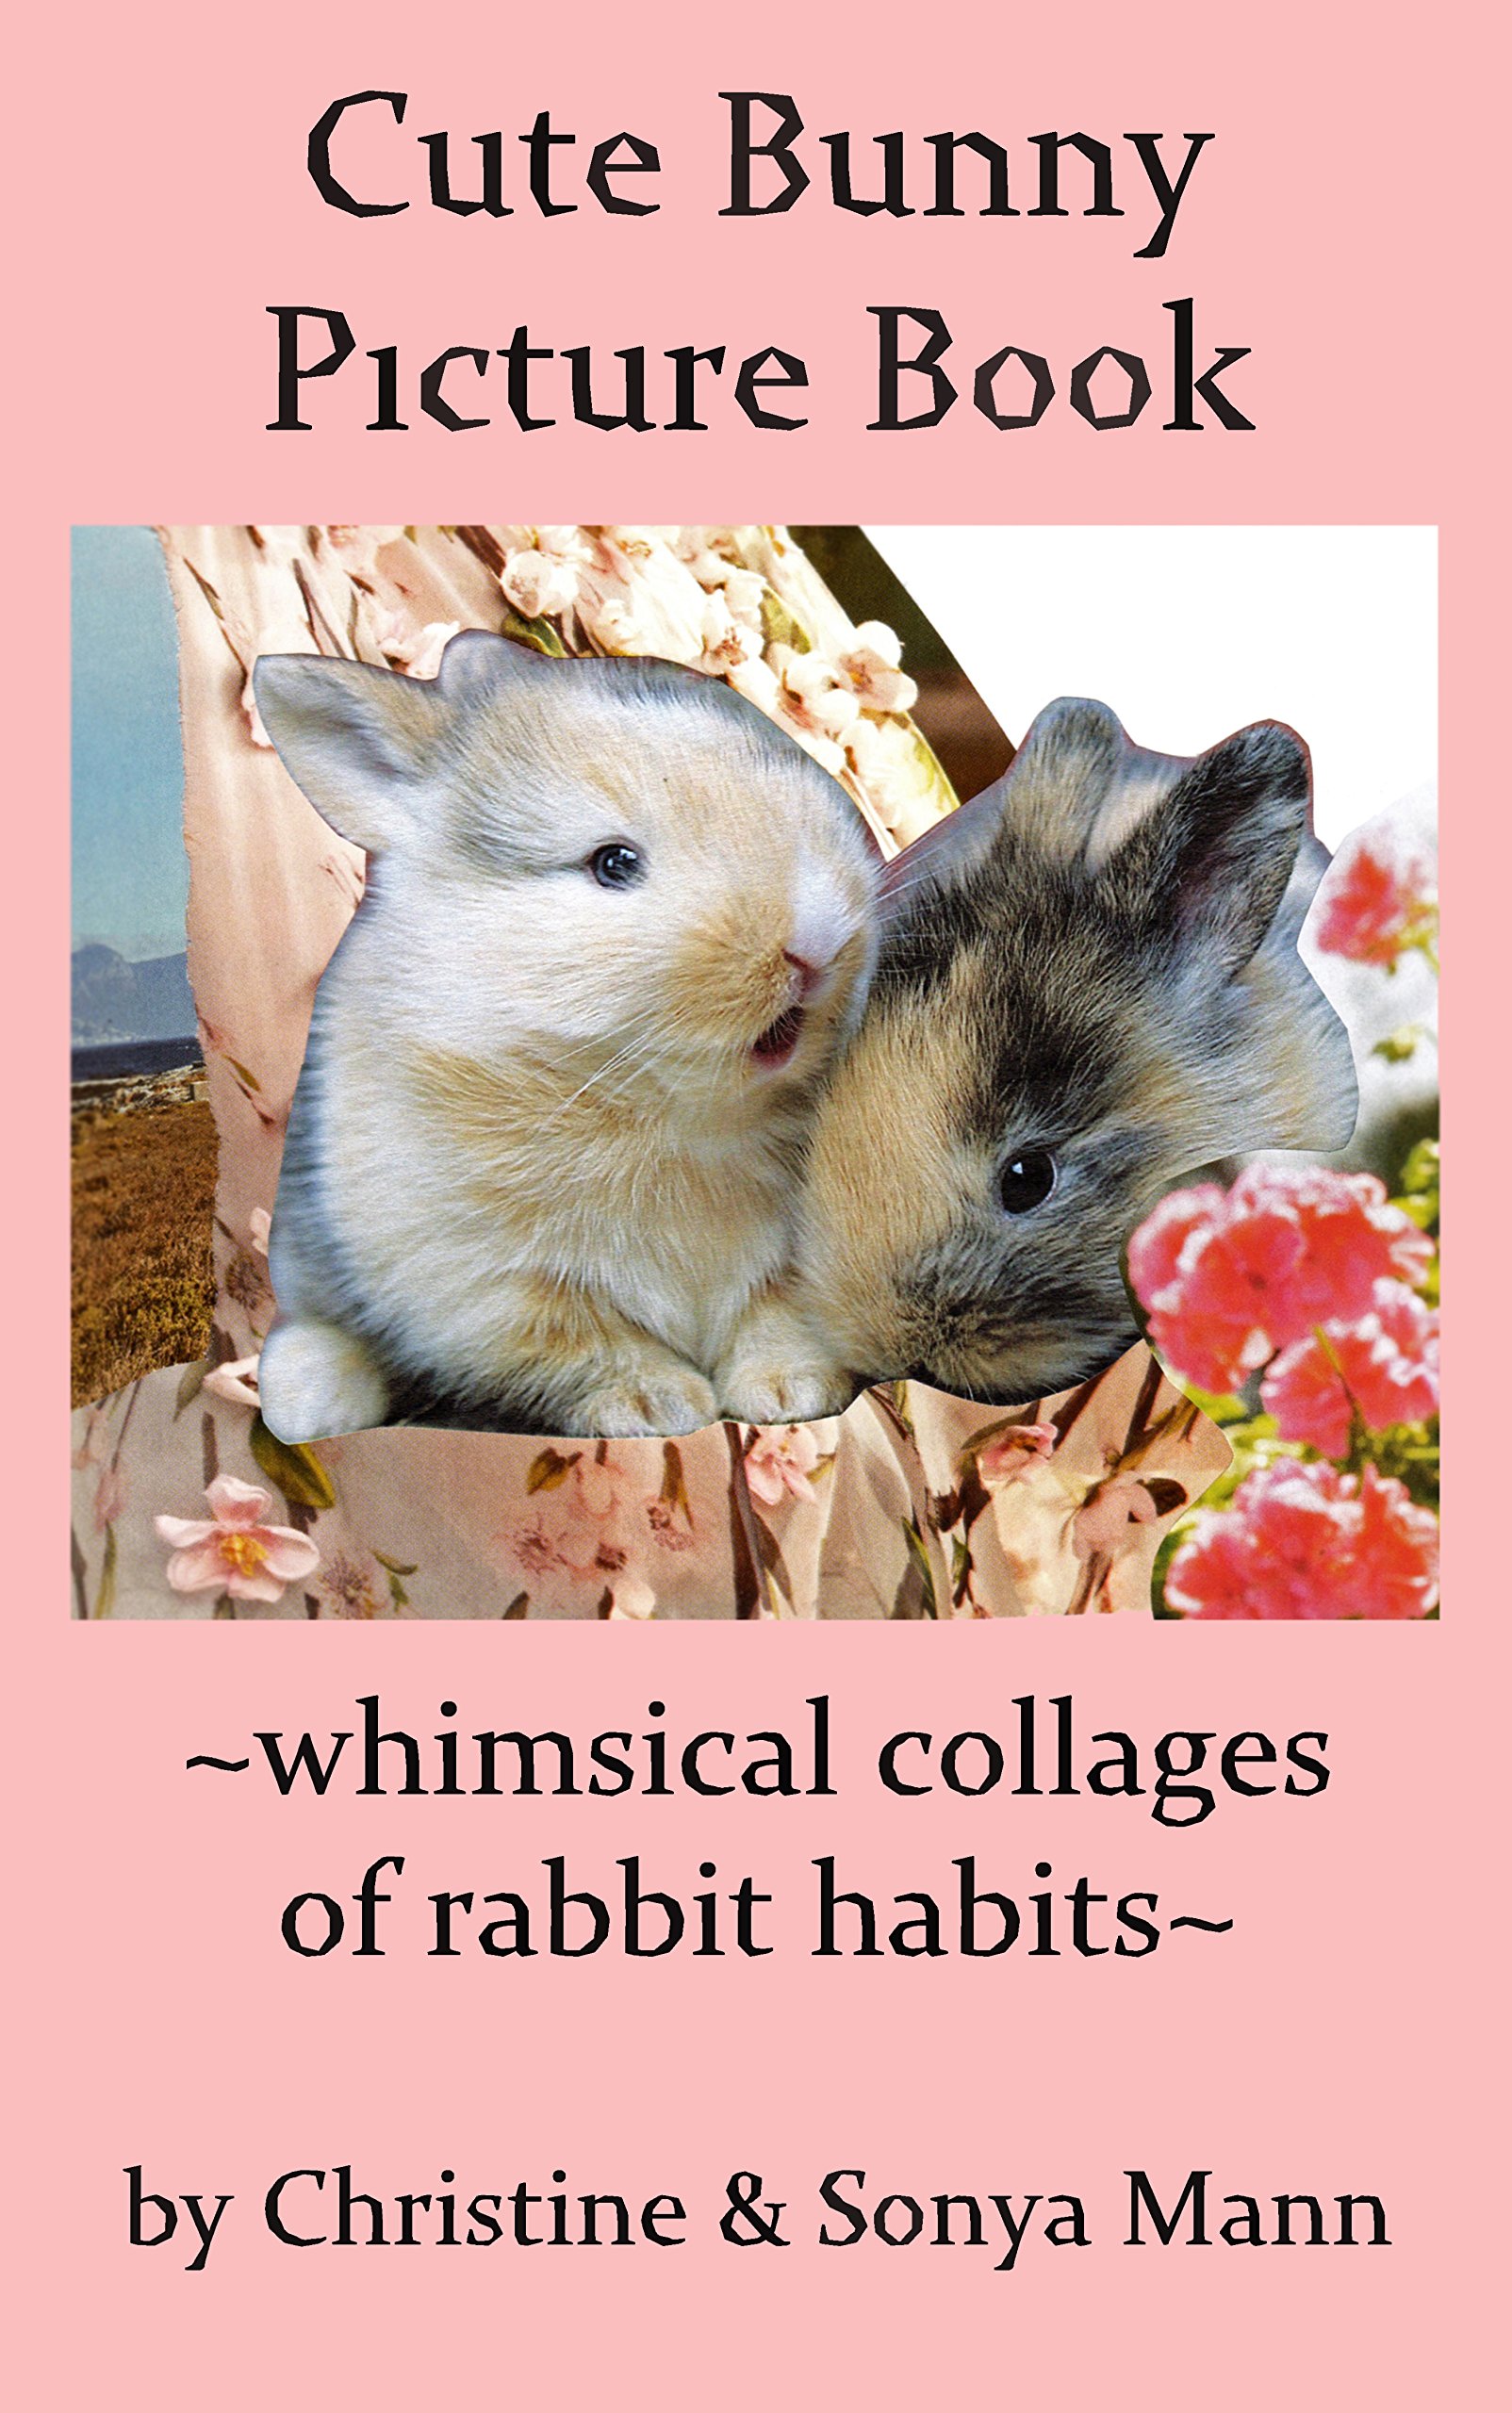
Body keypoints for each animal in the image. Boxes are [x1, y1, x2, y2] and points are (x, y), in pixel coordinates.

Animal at [250, 631, 879, 1442]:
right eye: (613, 863)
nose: (816, 941)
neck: (661, 1109)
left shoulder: (797, 1263)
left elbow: (779, 1319)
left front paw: (790, 1392)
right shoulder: (492, 1292)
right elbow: (591, 1349)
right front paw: (660, 1407)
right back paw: (307, 1406)